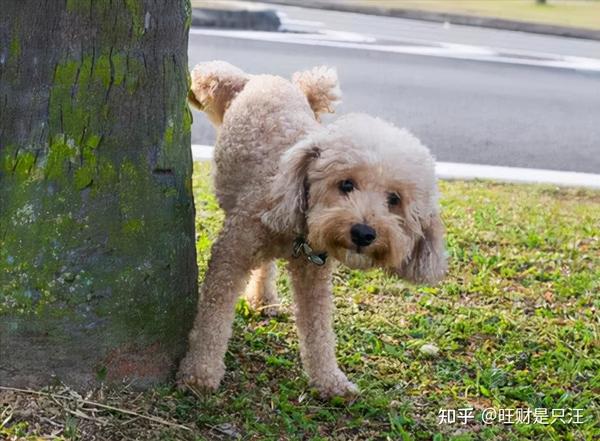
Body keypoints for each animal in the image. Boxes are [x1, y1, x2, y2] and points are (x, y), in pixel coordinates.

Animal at [178, 62, 446, 398]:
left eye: (394, 200)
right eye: (346, 184)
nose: (363, 233)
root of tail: (267, 79)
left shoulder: (313, 273)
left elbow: (318, 329)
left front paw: (330, 380)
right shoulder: (232, 253)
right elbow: (213, 316)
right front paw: (200, 371)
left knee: (266, 266)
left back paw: (264, 299)